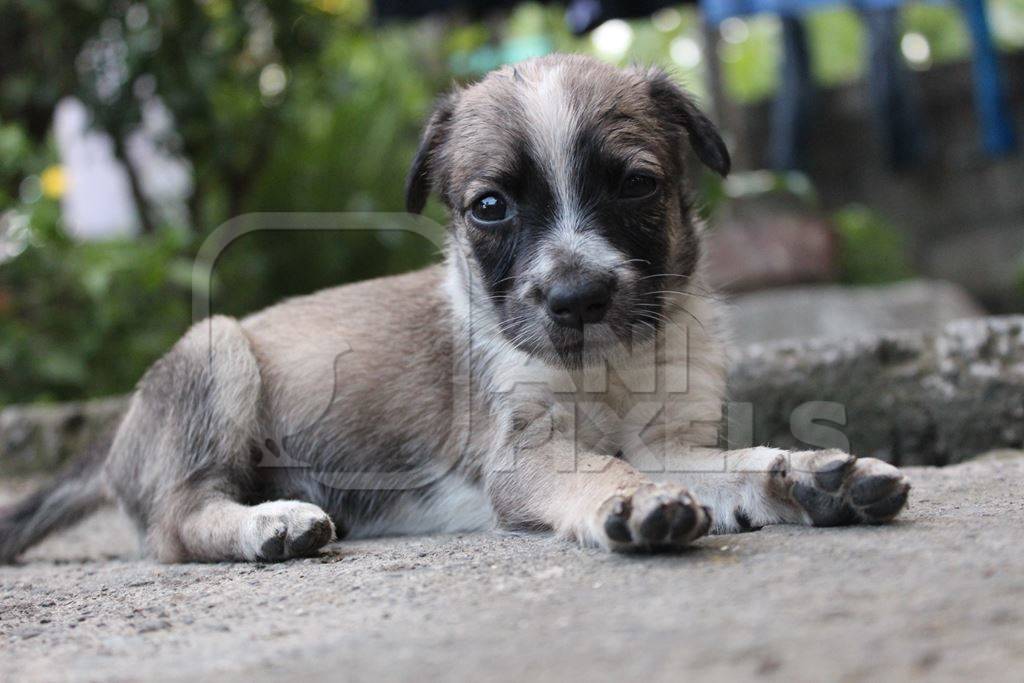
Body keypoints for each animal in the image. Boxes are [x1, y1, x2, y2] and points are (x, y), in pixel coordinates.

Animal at [0, 56, 913, 565]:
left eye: (636, 185)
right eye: (489, 208)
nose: (577, 299)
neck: (611, 368)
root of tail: (114, 435)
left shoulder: (671, 437)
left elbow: (731, 463)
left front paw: (813, 477)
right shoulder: (527, 451)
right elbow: (605, 470)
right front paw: (629, 504)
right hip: (217, 350)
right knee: (175, 523)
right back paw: (271, 526)